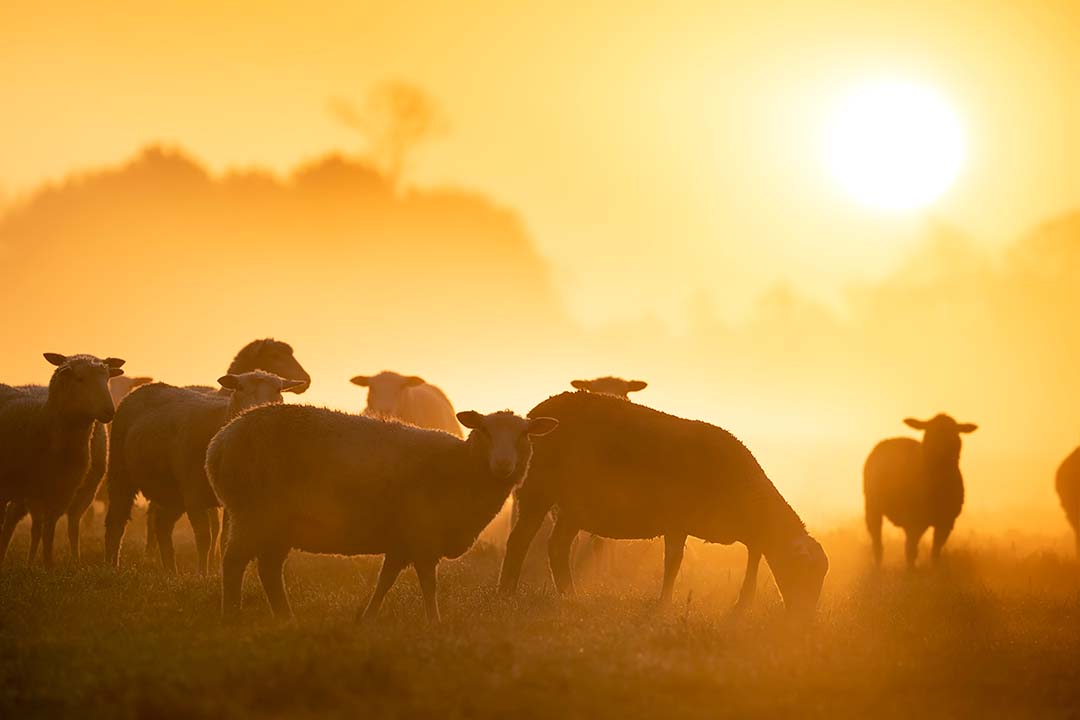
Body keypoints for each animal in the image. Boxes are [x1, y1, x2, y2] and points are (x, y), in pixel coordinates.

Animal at [0, 354, 124, 569]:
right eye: (80, 379)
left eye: (107, 377)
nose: (109, 410)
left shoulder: (62, 493)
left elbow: (50, 531)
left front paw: (49, 566)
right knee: (10, 522)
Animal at [104, 371, 304, 574]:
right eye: (240, 387)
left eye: (279, 389)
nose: (258, 410)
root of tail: (148, 387)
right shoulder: (193, 494)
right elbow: (203, 537)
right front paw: (202, 574)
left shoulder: (230, 501)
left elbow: (224, 539)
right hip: (120, 470)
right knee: (116, 521)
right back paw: (113, 566)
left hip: (174, 492)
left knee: (162, 524)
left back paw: (171, 572)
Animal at [204, 408, 557, 621]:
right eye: (484, 430)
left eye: (524, 434)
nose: (503, 464)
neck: (458, 468)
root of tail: (219, 443)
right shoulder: (423, 536)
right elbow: (429, 583)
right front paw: (435, 622)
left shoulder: (403, 541)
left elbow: (385, 580)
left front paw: (368, 618)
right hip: (253, 514)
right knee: (234, 563)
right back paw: (230, 615)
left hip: (277, 524)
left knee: (269, 569)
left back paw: (286, 618)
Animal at [496, 390, 825, 617]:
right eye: (804, 571)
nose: (806, 619)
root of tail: (536, 412)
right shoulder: (677, 521)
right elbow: (673, 563)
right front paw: (664, 602)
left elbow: (754, 553)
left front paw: (742, 602)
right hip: (537, 493)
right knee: (519, 541)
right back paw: (507, 593)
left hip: (572, 507)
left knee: (557, 547)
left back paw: (569, 596)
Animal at [864, 416, 976, 569]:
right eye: (929, 432)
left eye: (954, 432)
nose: (940, 451)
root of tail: (889, 439)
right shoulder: (914, 520)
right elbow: (911, 551)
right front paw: (911, 571)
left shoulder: (946, 521)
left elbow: (935, 552)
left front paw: (934, 570)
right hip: (873, 506)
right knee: (877, 541)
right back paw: (878, 567)